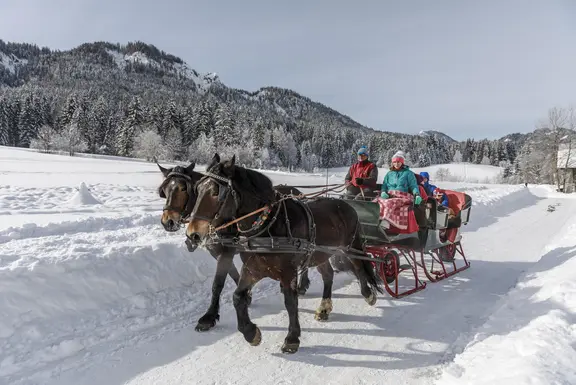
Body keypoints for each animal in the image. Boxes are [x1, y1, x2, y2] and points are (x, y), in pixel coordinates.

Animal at [156, 159, 310, 330]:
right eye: (164, 190)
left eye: (183, 188)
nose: (168, 222)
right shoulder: (218, 252)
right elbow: (234, 274)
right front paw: (247, 296)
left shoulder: (228, 251)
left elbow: (217, 284)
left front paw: (209, 317)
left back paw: (302, 284)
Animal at [184, 154, 382, 352]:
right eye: (198, 188)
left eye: (216, 192)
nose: (193, 234)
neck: (268, 225)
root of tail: (346, 204)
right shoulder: (253, 268)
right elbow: (237, 296)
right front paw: (251, 333)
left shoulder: (287, 272)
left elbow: (290, 302)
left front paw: (292, 338)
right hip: (319, 254)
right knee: (328, 274)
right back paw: (324, 308)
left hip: (350, 247)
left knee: (359, 266)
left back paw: (368, 294)